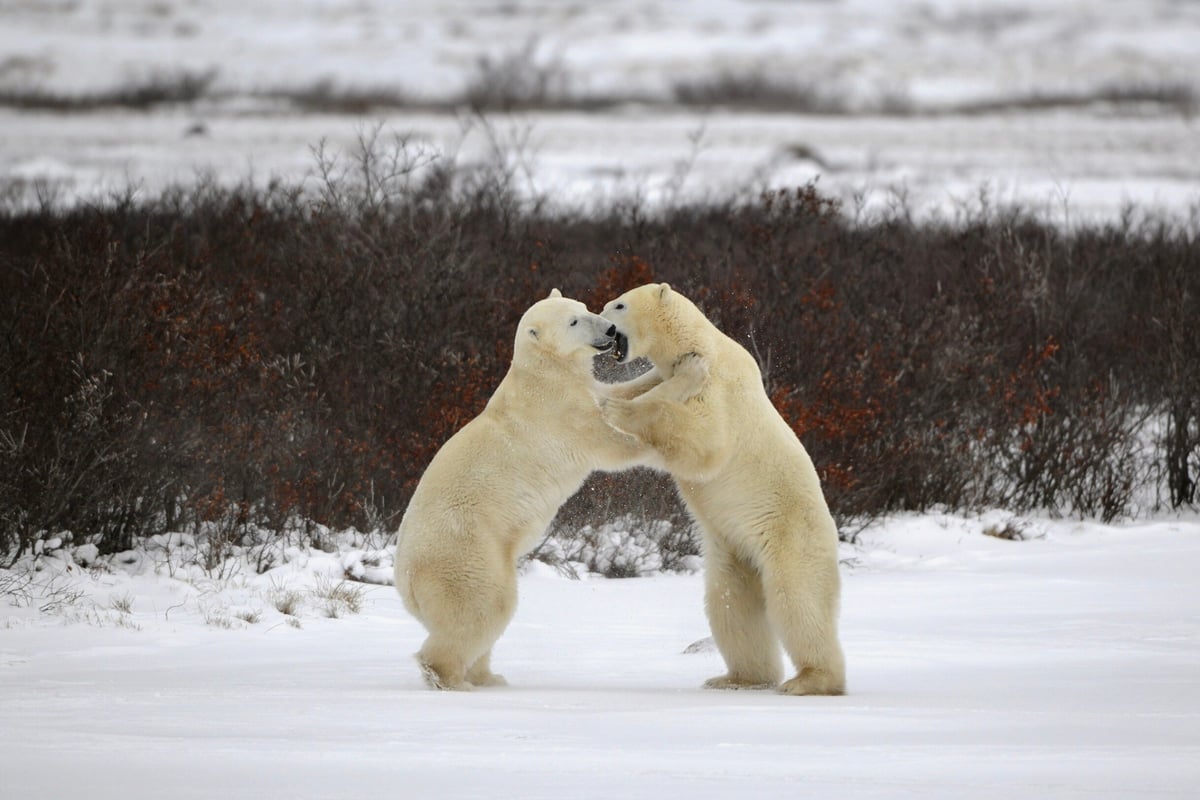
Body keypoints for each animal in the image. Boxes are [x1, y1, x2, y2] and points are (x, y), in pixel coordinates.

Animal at [393, 291, 710, 690]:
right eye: (573, 322)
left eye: (586, 308)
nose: (609, 329)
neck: (544, 373)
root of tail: (406, 582)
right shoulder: (562, 415)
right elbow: (614, 437)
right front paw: (693, 370)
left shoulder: (579, 389)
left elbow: (613, 392)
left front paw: (668, 367)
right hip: (466, 553)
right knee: (484, 607)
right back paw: (449, 677)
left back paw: (488, 676)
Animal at [600, 281, 844, 695]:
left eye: (618, 305)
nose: (601, 321)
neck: (696, 344)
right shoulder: (656, 376)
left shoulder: (719, 387)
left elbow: (705, 443)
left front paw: (619, 412)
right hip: (734, 551)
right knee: (730, 605)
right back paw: (737, 678)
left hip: (792, 537)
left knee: (797, 601)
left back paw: (810, 680)